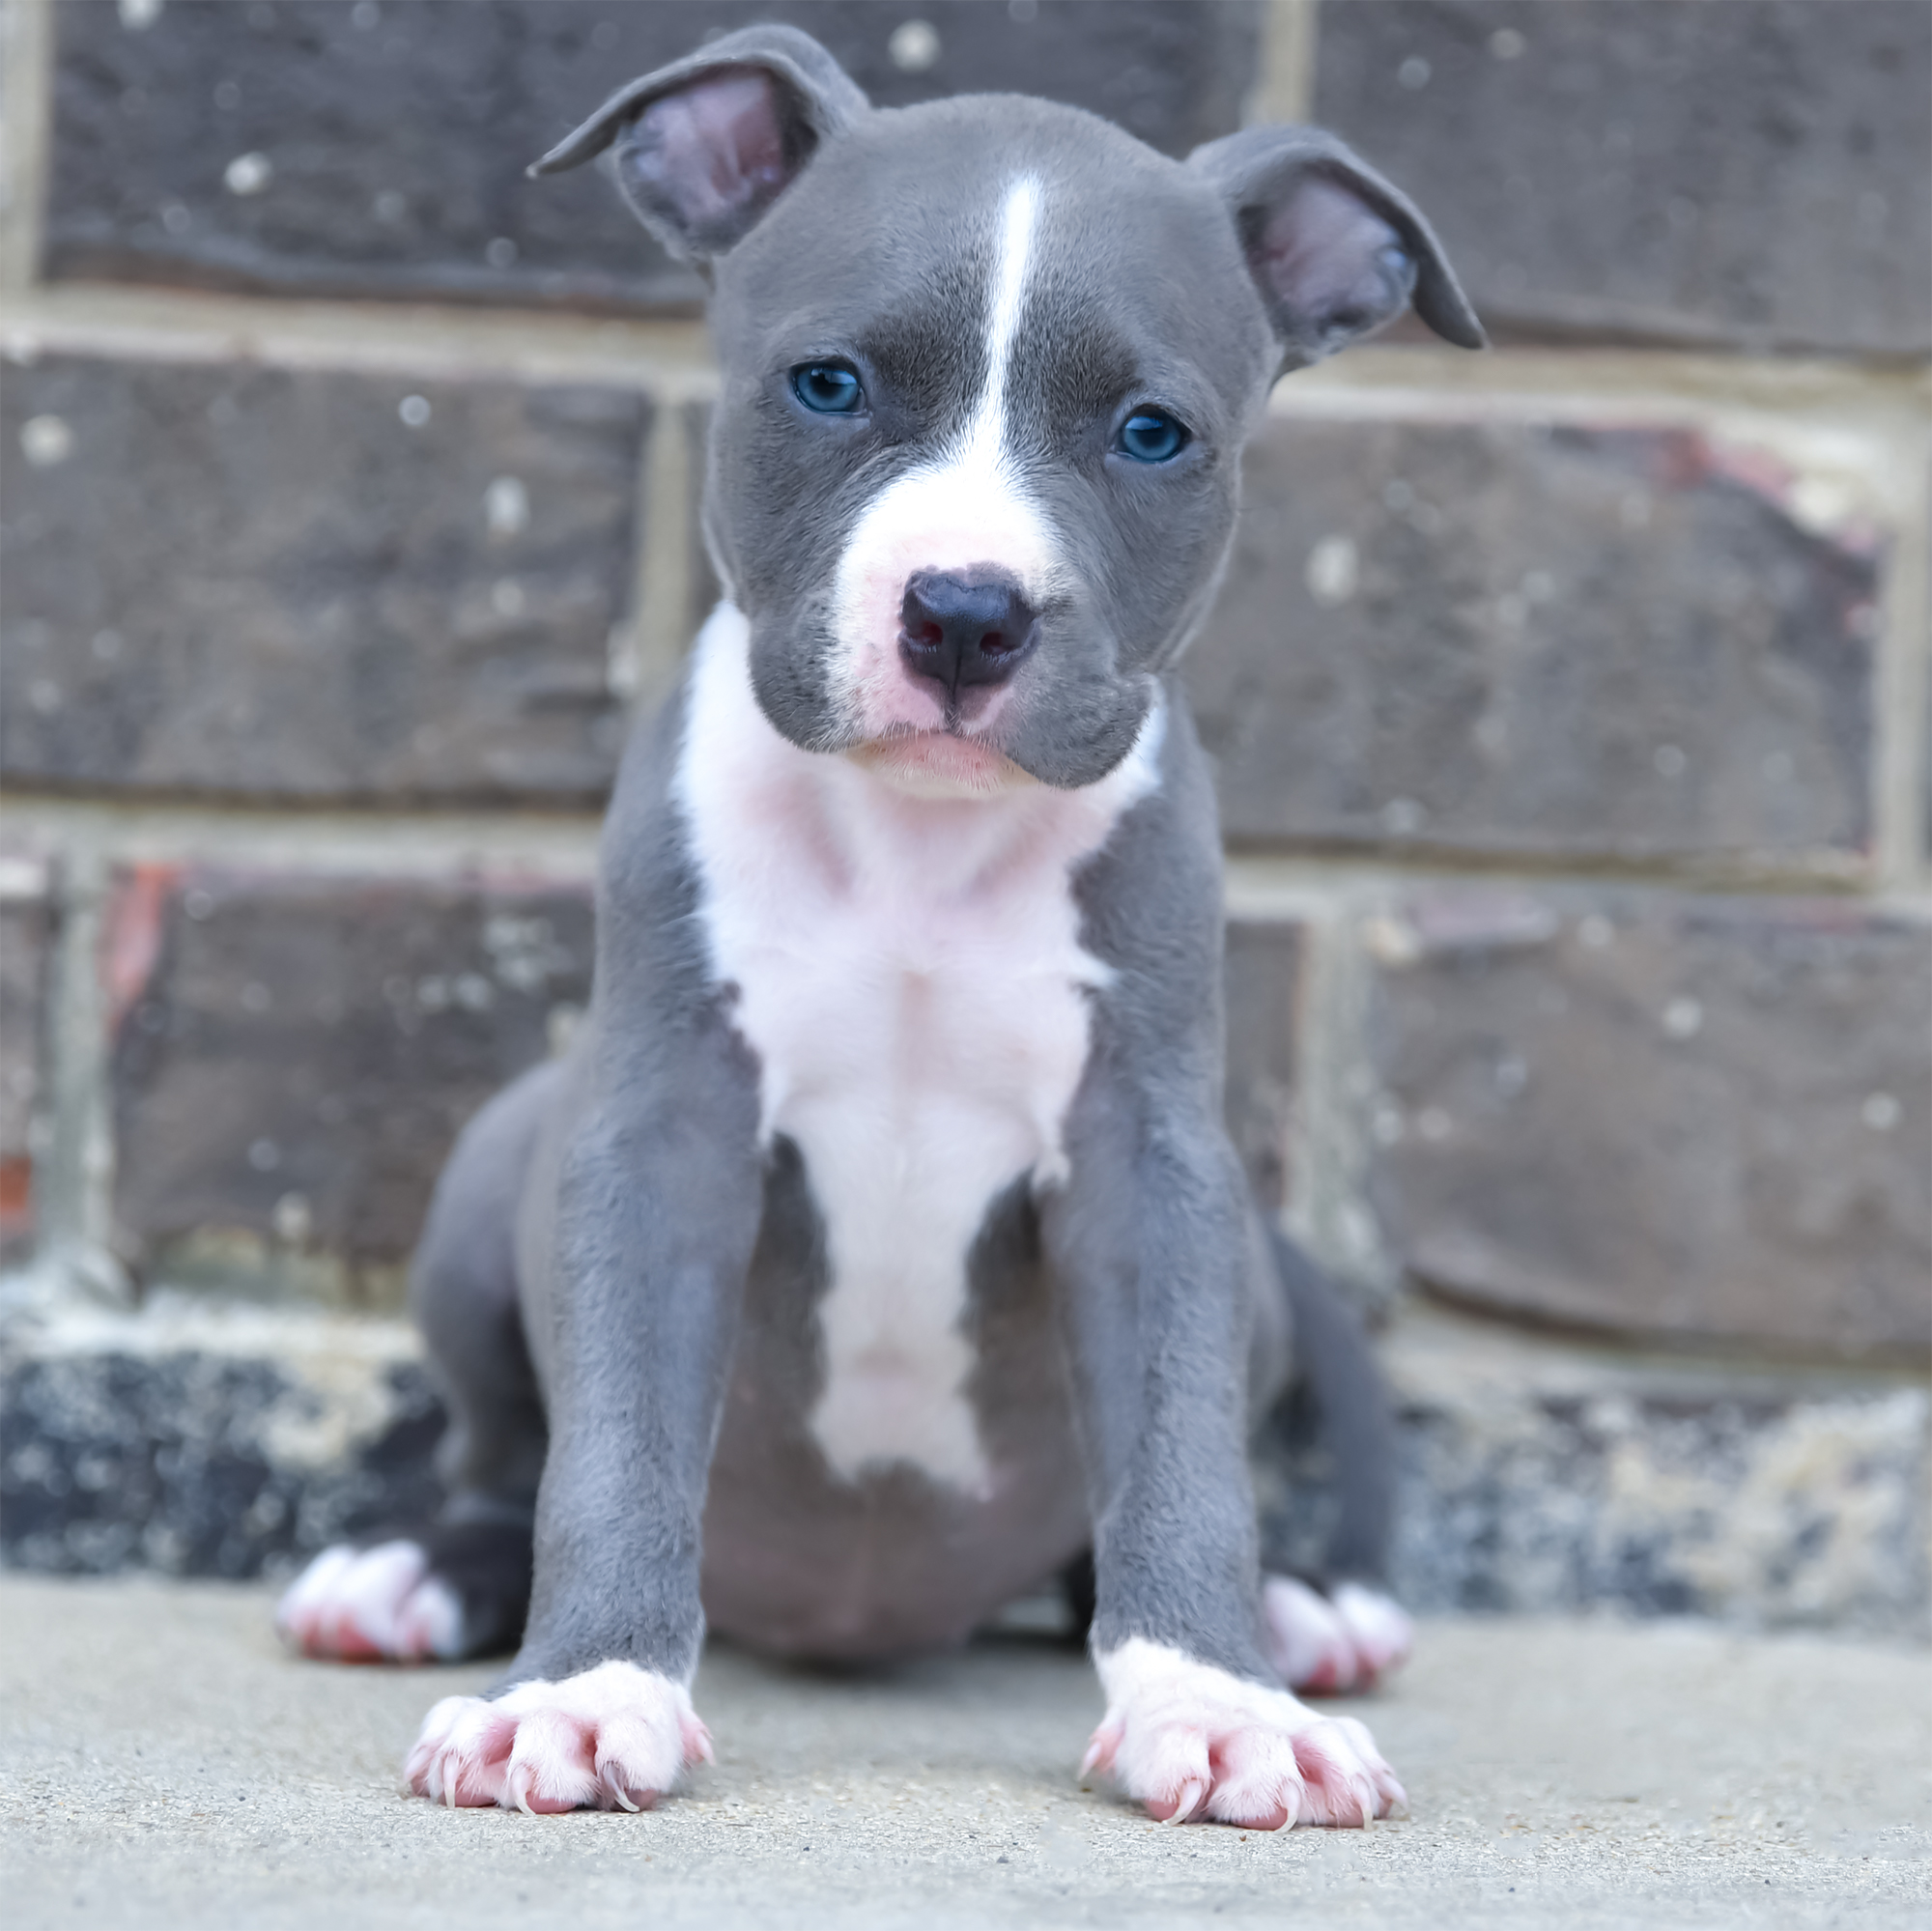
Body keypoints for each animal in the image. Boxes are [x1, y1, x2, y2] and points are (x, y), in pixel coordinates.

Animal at [276, 18, 1476, 1823]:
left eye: (1152, 433)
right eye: (828, 384)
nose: (968, 611)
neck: (921, 844)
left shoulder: (1150, 1155)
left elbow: (1183, 1439)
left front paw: (1219, 1695)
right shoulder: (664, 1123)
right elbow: (615, 1438)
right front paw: (579, 1686)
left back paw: (1300, 1608)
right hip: (494, 1170)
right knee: (500, 1455)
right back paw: (412, 1569)